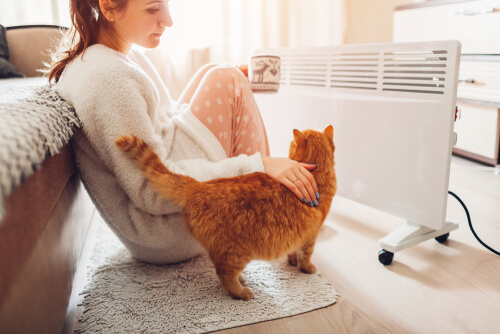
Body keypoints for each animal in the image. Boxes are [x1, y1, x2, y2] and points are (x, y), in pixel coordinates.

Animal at [115, 125, 338, 300]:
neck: (317, 173)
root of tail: (201, 186)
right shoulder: (311, 234)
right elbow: (306, 255)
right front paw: (307, 268)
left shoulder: (299, 233)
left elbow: (294, 251)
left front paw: (292, 262)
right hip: (237, 253)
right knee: (224, 274)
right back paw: (242, 292)